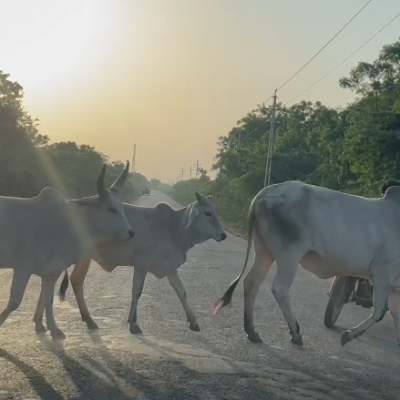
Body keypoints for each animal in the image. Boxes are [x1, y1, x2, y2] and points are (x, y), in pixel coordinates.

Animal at [0, 161, 134, 340]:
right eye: (111, 209)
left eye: (122, 208)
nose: (131, 233)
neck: (63, 225)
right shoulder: (23, 268)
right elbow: (15, 301)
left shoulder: (51, 272)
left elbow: (48, 299)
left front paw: (54, 329)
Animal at [55, 194, 228, 334]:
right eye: (208, 213)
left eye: (217, 212)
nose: (223, 235)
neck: (173, 228)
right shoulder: (142, 264)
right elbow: (136, 291)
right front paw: (133, 323)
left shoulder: (169, 267)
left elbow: (181, 292)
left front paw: (193, 322)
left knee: (76, 280)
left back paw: (88, 319)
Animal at [214, 180, 400, 346]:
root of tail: (268, 190)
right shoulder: (382, 273)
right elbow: (380, 312)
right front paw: (348, 335)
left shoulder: (394, 286)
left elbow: (395, 315)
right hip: (289, 254)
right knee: (279, 288)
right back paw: (295, 332)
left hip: (263, 252)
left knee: (252, 282)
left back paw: (251, 331)